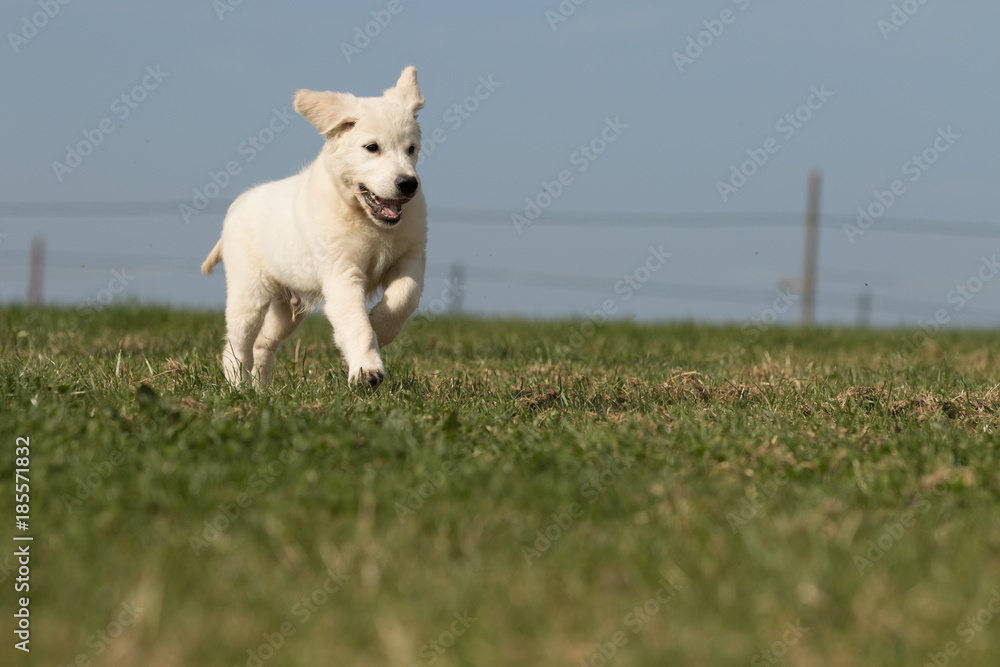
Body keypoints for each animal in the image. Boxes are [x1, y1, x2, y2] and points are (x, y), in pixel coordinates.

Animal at [201, 66, 424, 392]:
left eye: (411, 149)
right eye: (372, 148)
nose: (408, 184)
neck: (365, 218)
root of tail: (236, 206)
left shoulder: (411, 258)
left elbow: (404, 298)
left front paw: (380, 327)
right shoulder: (341, 273)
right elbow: (356, 324)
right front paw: (367, 370)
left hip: (287, 309)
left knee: (263, 345)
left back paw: (262, 390)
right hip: (249, 293)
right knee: (236, 345)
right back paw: (237, 387)